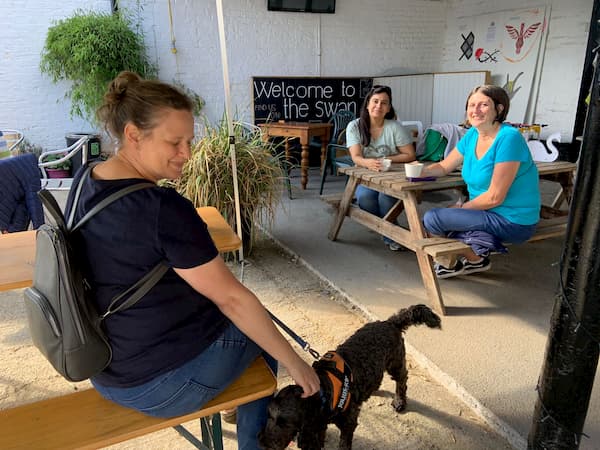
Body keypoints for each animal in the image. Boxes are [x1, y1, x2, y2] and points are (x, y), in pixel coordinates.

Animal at [258, 304, 440, 448]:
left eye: (284, 422)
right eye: (268, 415)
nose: (261, 442)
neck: (324, 389)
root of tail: (390, 322)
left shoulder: (348, 424)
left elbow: (343, 444)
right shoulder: (318, 423)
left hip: (395, 363)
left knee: (402, 380)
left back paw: (400, 401)